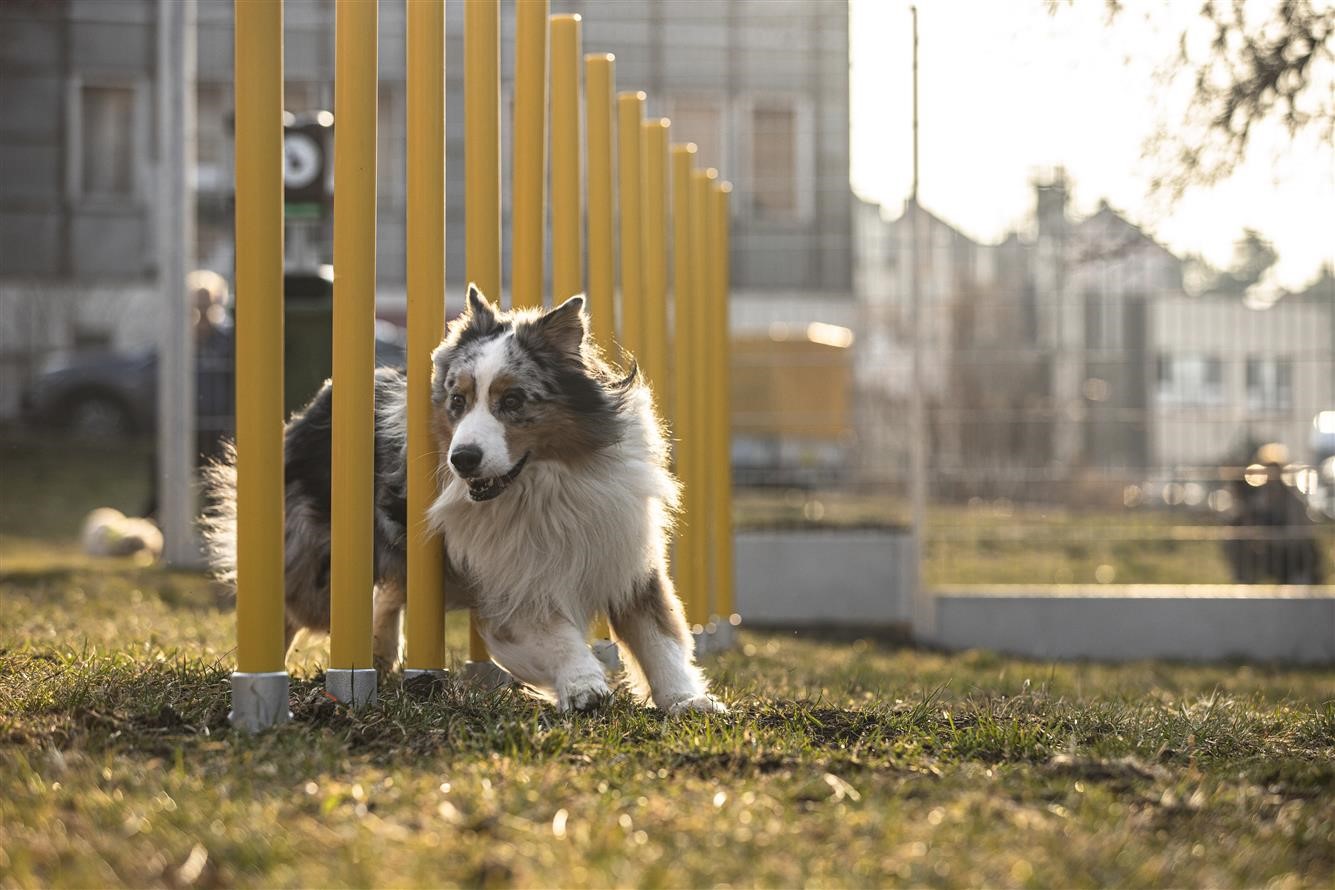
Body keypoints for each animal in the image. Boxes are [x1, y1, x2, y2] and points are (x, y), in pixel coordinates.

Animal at [204, 285, 726, 715]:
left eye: (512, 401)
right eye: (457, 401)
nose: (463, 460)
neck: (543, 485)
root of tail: (319, 401)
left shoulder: (626, 557)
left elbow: (661, 640)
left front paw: (688, 701)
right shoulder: (512, 583)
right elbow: (557, 636)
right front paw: (583, 685)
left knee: (390, 593)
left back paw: (379, 652)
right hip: (320, 570)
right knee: (291, 608)